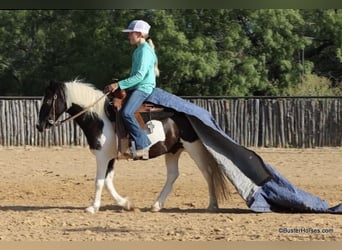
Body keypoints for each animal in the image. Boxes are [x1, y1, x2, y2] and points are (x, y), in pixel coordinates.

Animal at [36, 80, 230, 213]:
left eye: (48, 101)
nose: (39, 126)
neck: (100, 119)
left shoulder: (102, 157)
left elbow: (99, 181)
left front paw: (92, 207)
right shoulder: (110, 157)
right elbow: (108, 181)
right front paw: (126, 203)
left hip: (193, 147)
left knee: (207, 172)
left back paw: (212, 204)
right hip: (173, 150)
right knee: (173, 175)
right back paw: (156, 205)